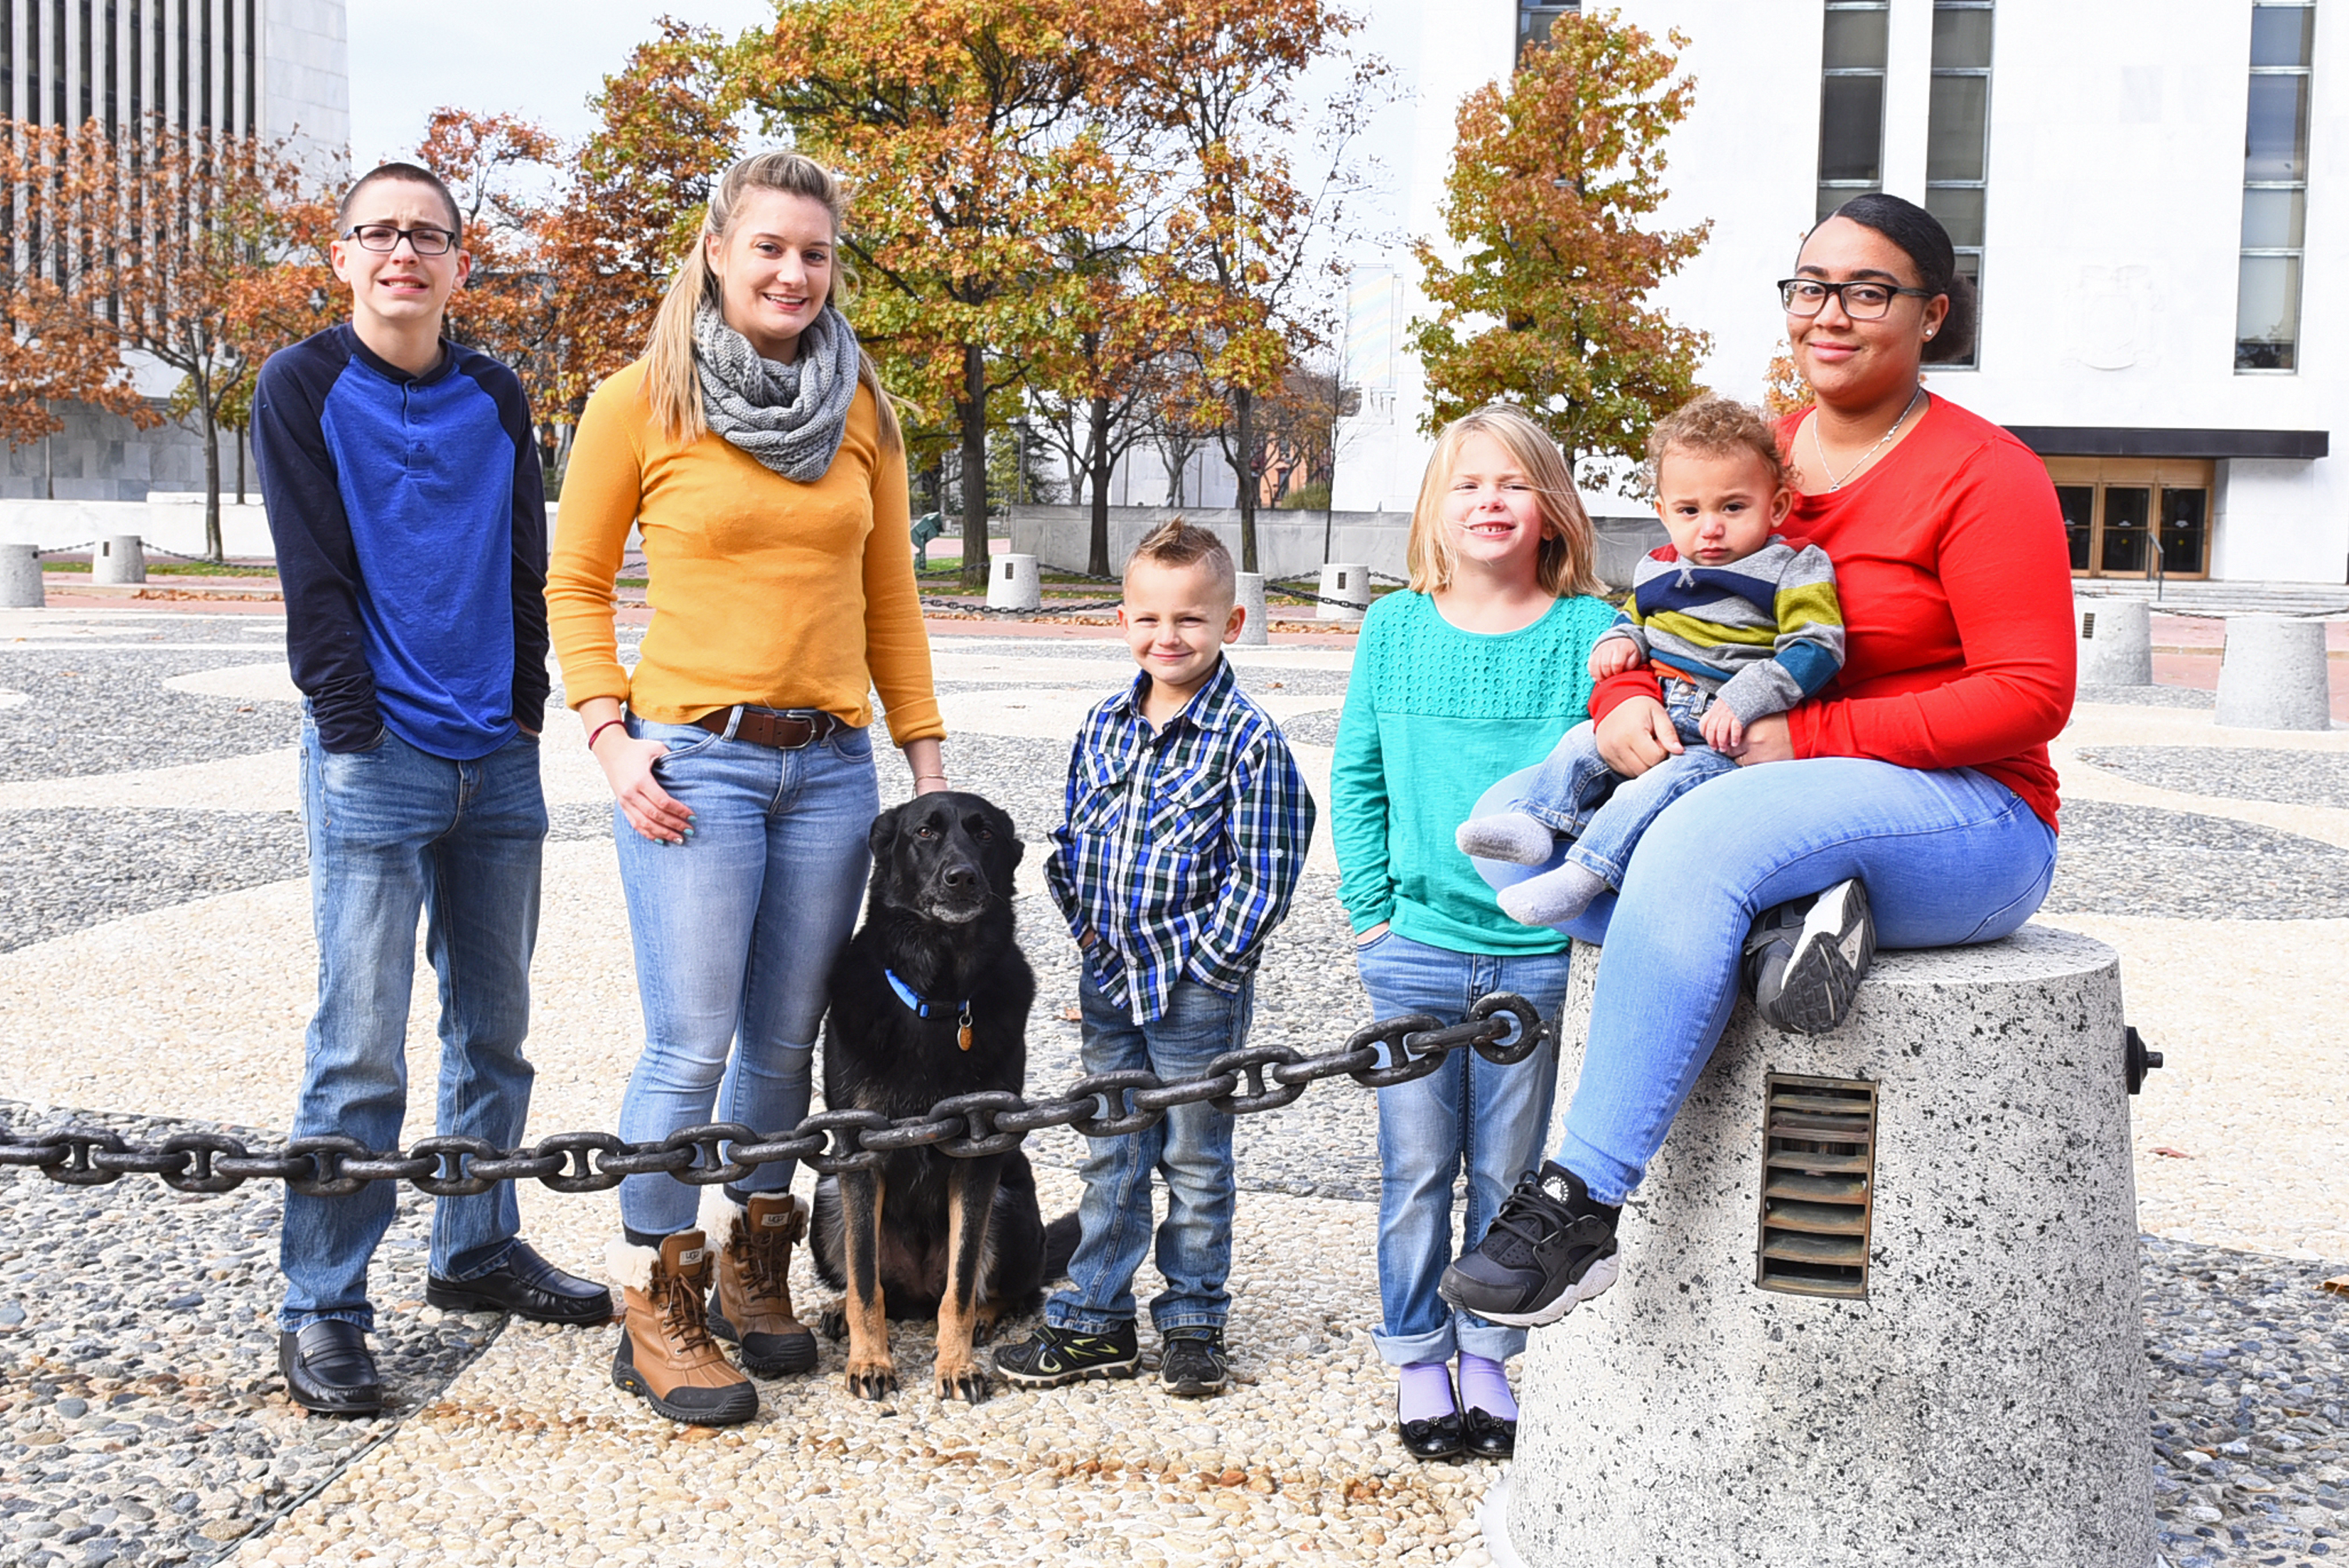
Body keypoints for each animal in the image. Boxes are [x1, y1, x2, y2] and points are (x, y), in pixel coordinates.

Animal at [803, 789, 1071, 1399]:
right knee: (874, 1283)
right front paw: (870, 1360)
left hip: (1010, 1202)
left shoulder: (979, 1161)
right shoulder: (858, 1157)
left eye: (985, 834)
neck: (940, 997)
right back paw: (839, 1313)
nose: (963, 877)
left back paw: (985, 1318)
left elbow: (963, 1280)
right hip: (826, 1198)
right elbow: (865, 1284)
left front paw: (956, 1364)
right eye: (924, 832)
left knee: (1009, 1292)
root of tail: (916, 1292)